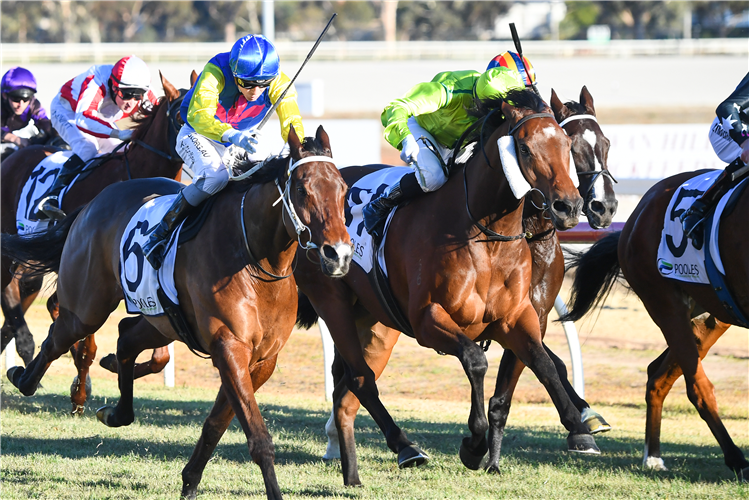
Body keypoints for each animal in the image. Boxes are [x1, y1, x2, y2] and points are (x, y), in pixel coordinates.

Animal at [1, 126, 352, 500]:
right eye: (302, 189)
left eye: (343, 189)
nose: (339, 254)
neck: (255, 258)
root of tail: (92, 203)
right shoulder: (229, 348)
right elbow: (257, 437)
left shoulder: (262, 360)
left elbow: (216, 423)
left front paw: (190, 479)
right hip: (87, 307)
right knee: (58, 338)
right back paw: (24, 377)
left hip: (162, 319)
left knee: (125, 337)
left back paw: (114, 410)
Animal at [296, 88, 592, 486]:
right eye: (525, 148)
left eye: (565, 143)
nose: (569, 206)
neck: (485, 234)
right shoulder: (428, 320)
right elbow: (476, 360)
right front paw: (474, 443)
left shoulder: (518, 317)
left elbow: (543, 362)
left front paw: (578, 423)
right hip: (333, 302)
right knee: (360, 379)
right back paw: (405, 448)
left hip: (375, 323)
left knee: (346, 393)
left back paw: (353, 471)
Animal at [560, 170, 748, 478]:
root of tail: (637, 213)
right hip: (665, 303)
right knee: (696, 387)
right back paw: (736, 460)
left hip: (711, 314)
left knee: (658, 374)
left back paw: (654, 456)